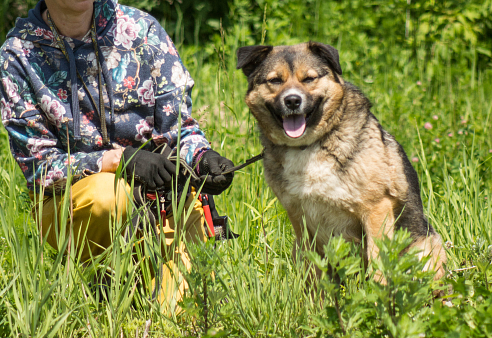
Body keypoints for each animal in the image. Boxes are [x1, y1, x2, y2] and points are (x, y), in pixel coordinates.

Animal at [236, 42, 448, 280]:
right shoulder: (300, 220)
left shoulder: (377, 209)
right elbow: (314, 272)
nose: (292, 100)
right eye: (275, 80)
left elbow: (378, 262)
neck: (308, 146)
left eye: (309, 79)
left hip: (424, 250)